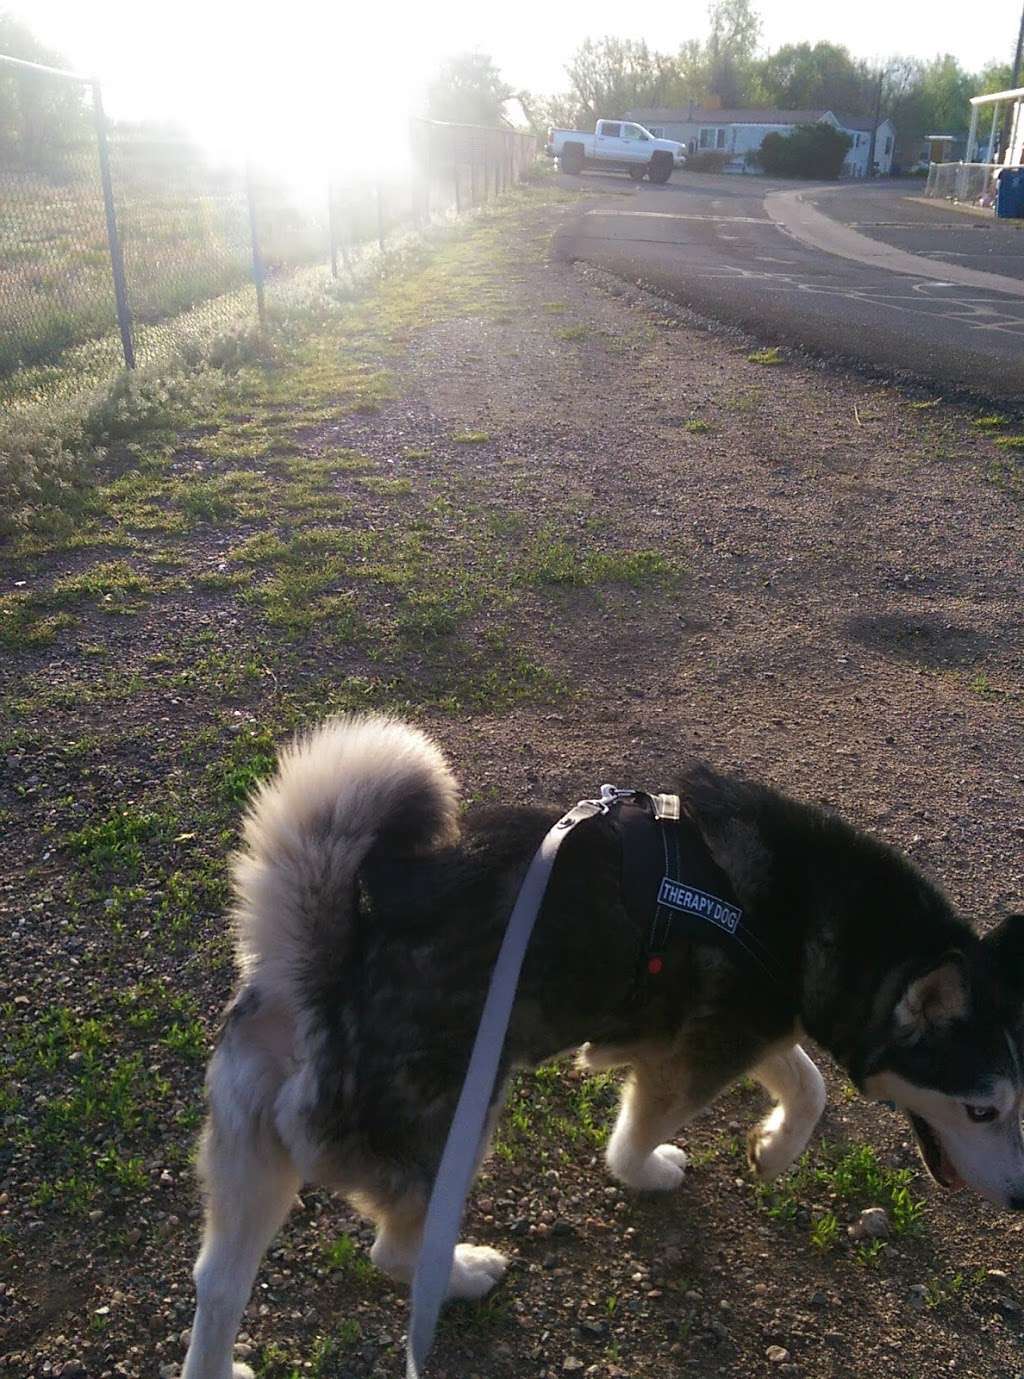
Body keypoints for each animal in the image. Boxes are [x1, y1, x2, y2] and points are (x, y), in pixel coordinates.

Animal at [181, 717, 1024, 1373]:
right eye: (984, 1110)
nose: (1020, 1198)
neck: (810, 911)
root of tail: (315, 975)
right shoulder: (693, 1057)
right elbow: (638, 1138)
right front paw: (651, 1170)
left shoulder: (737, 1028)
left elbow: (807, 1085)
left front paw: (774, 1149)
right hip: (460, 1123)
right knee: (393, 1254)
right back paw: (466, 1273)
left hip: (251, 1171)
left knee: (214, 1283)